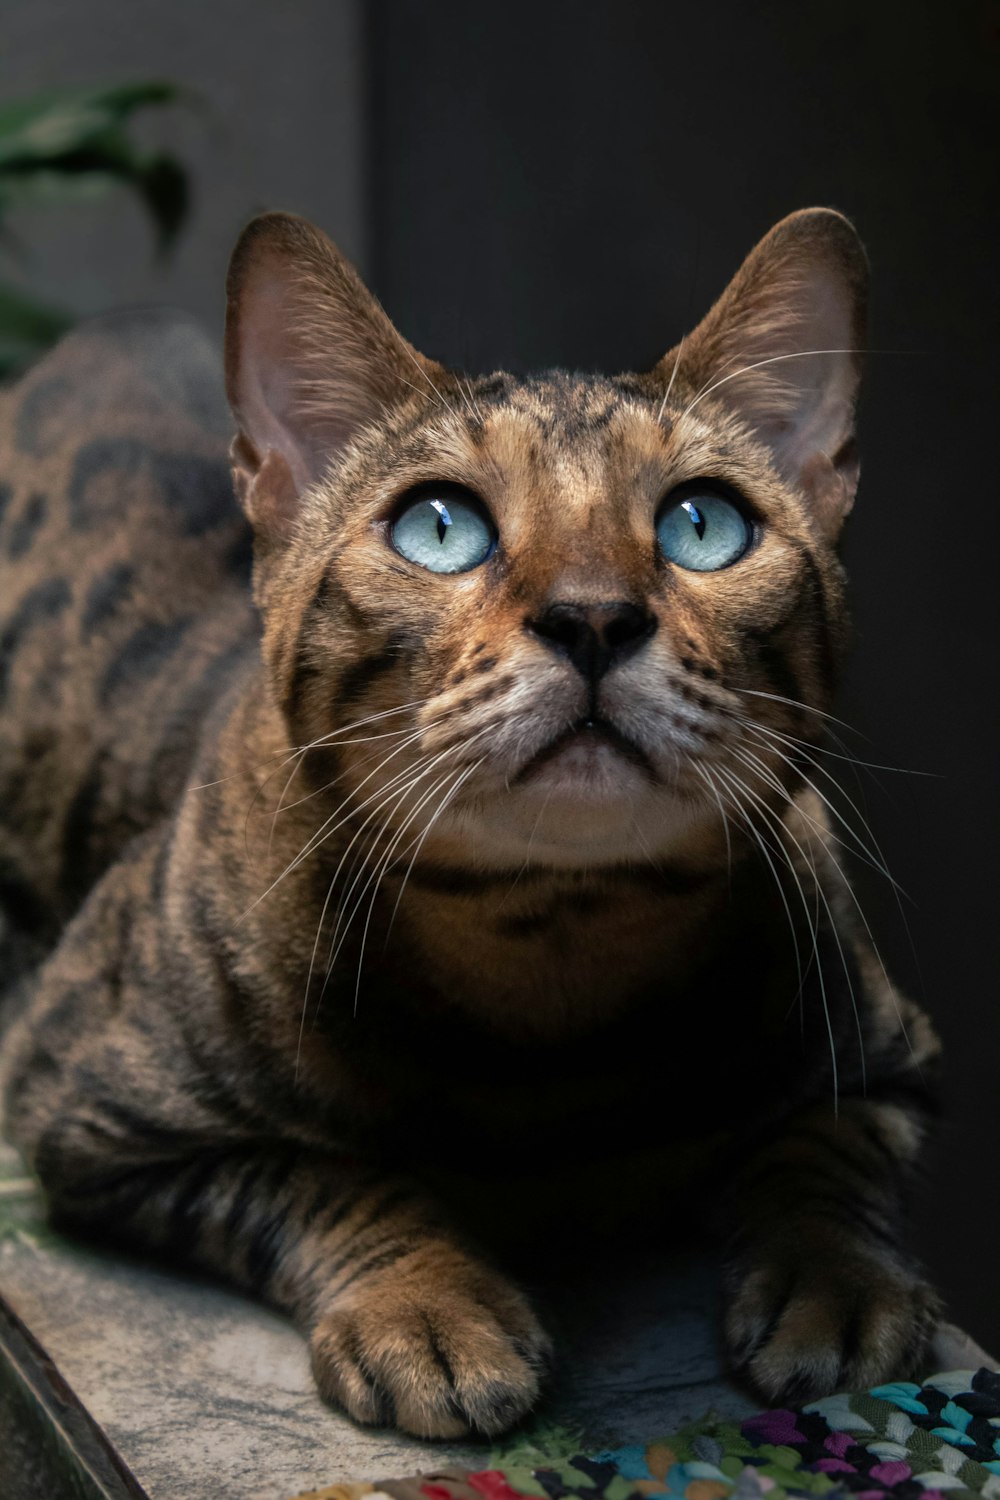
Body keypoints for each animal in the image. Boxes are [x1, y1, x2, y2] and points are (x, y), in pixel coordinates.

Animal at [0, 205, 947, 1434]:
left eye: (703, 525)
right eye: (439, 528)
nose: (592, 617)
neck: (552, 950)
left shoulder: (893, 1061)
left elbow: (822, 1156)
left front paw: (832, 1285)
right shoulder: (89, 1107)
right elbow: (327, 1174)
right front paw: (432, 1306)